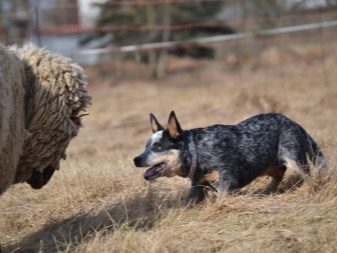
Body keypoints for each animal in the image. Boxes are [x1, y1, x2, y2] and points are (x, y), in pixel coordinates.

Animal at [133, 111, 326, 203]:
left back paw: (309, 191)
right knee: (279, 173)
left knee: (310, 176)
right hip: (269, 164)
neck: (197, 150)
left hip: (295, 159)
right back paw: (267, 191)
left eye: (157, 147)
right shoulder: (197, 186)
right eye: (146, 146)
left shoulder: (226, 182)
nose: (135, 159)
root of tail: (294, 122)